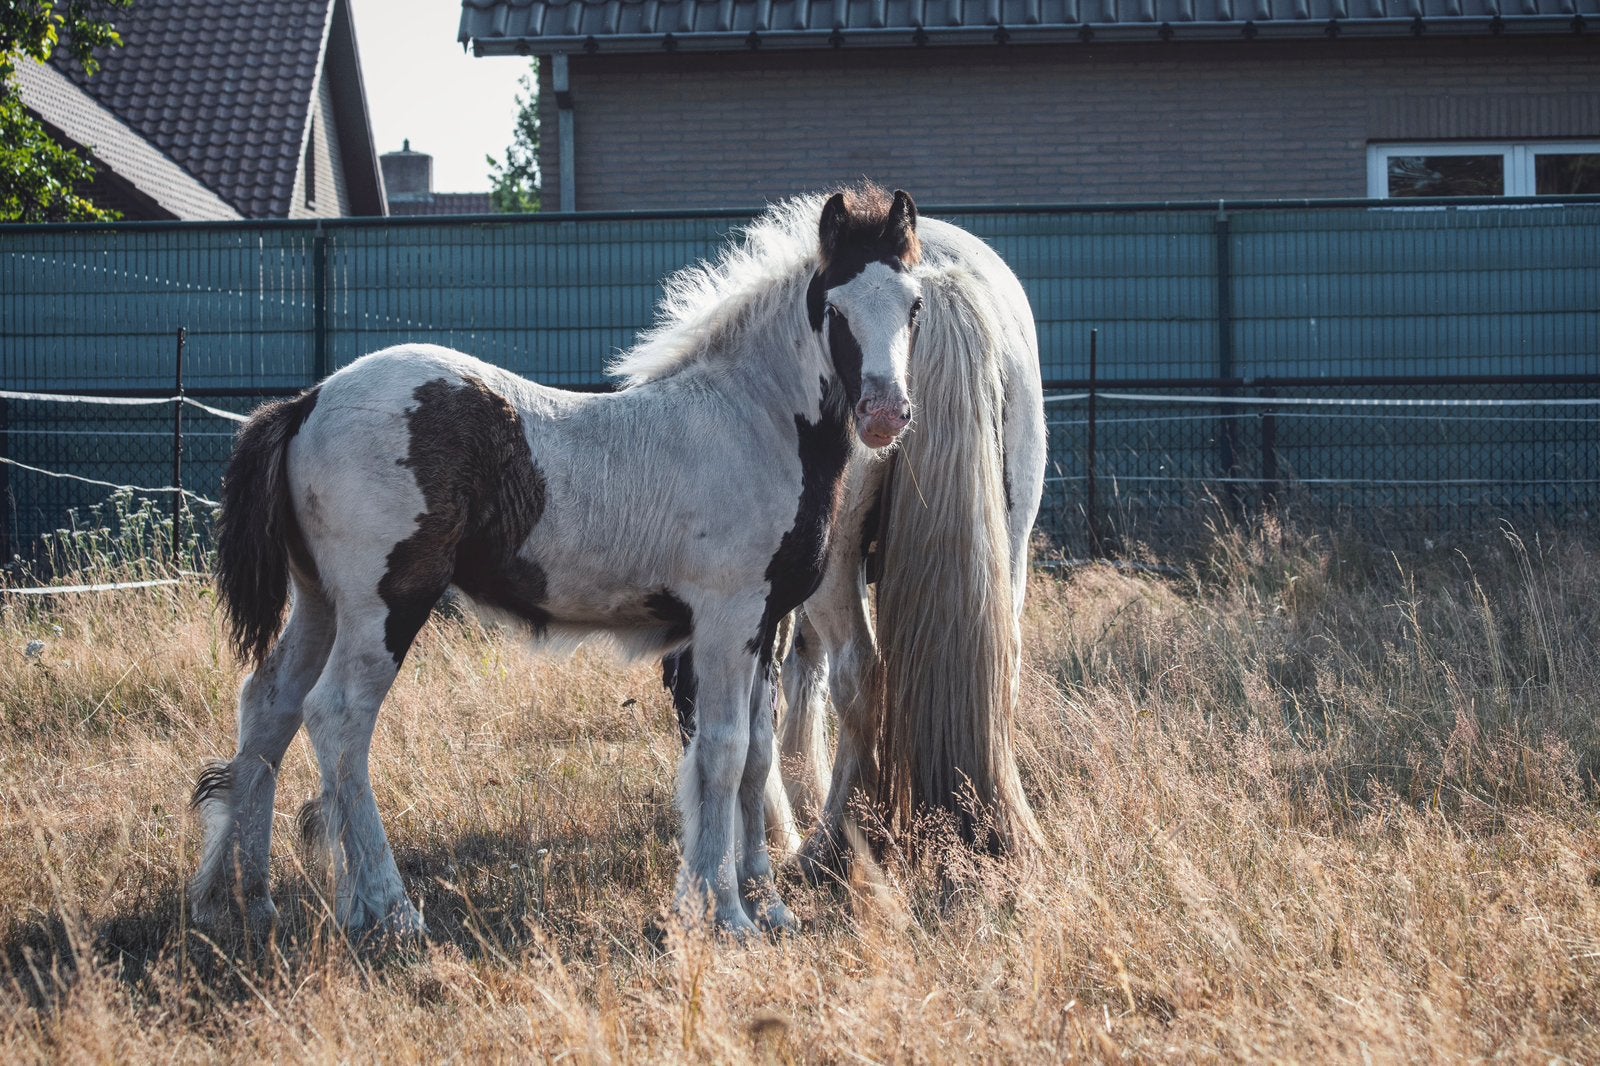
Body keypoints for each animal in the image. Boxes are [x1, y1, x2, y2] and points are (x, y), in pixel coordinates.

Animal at [191, 186, 925, 941]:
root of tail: (308, 401)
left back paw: (242, 900)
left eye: (914, 305)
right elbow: (722, 753)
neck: (754, 421)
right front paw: (723, 913)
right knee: (337, 717)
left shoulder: (768, 623)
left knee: (270, 706)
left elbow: (756, 754)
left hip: (319, 601)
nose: (884, 413)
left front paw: (767, 903)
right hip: (386, 603)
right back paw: (392, 911)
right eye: (834, 307)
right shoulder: (728, 617)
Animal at [661, 206, 1047, 872]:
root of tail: (939, 282)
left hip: (840, 567)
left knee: (859, 671)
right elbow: (798, 674)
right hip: (1013, 543)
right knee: (1005, 664)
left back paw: (834, 841)